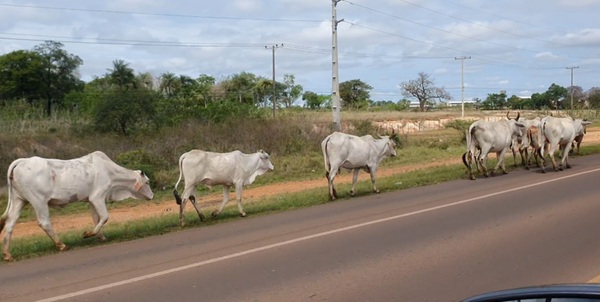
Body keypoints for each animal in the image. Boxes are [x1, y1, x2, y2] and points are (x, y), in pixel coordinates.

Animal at [0, 152, 155, 260]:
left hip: (19, 199)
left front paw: (101, 237)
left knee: (10, 224)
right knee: (44, 223)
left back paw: (7, 254)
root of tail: (21, 161)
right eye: (147, 182)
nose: (152, 196)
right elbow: (104, 217)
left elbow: (96, 218)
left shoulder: (92, 201)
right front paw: (88, 234)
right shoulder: (97, 197)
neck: (111, 173)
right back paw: (61, 244)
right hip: (39, 201)